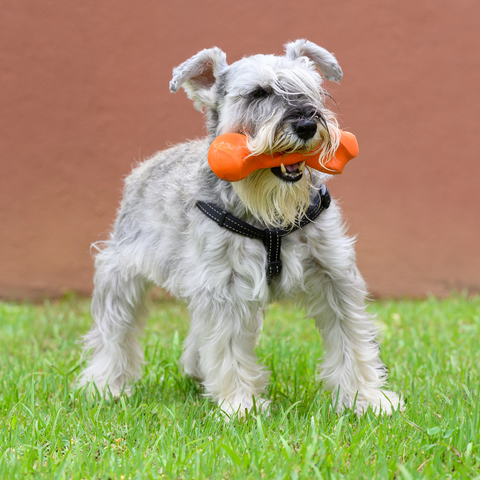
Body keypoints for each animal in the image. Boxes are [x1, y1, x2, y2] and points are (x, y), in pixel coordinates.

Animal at [78, 40, 402, 416]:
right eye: (257, 93)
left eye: (311, 90)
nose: (307, 123)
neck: (271, 214)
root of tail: (145, 166)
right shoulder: (225, 287)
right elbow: (228, 345)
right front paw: (240, 405)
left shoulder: (334, 275)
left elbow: (353, 337)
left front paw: (366, 398)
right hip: (122, 273)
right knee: (114, 331)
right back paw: (104, 384)